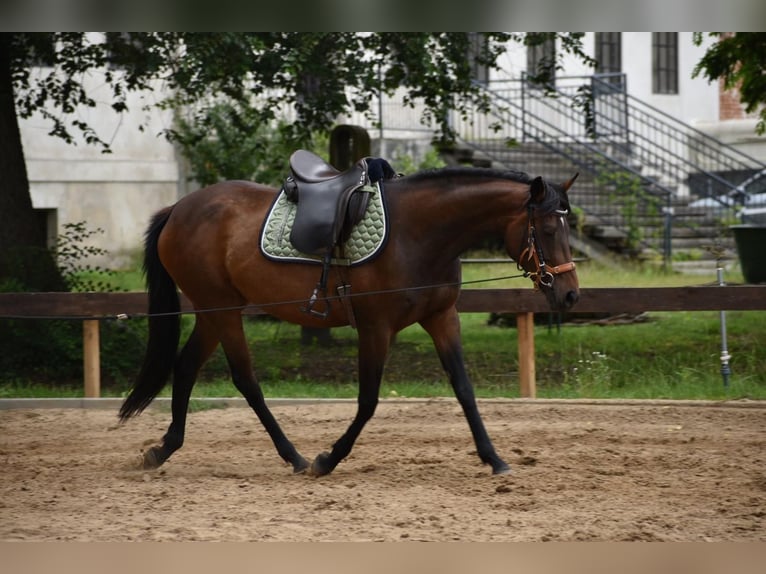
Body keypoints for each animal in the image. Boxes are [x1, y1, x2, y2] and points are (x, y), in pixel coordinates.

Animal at [118, 165, 584, 476]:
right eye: (546, 230)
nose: (570, 293)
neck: (419, 233)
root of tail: (179, 208)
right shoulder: (376, 328)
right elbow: (368, 400)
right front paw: (329, 458)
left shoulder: (442, 317)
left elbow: (465, 390)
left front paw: (494, 458)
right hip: (223, 311)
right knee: (246, 380)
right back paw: (295, 457)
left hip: (214, 312)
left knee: (186, 367)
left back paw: (163, 449)